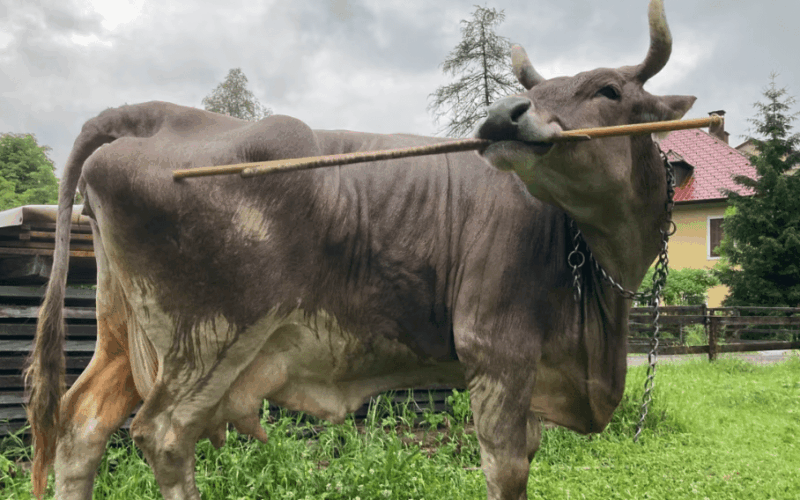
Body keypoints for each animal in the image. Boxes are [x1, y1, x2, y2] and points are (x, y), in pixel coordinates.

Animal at [25, 1, 694, 498]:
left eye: (608, 89)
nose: (504, 114)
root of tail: (157, 114)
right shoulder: (496, 352)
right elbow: (506, 472)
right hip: (210, 336)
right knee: (163, 436)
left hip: (126, 334)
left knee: (82, 425)